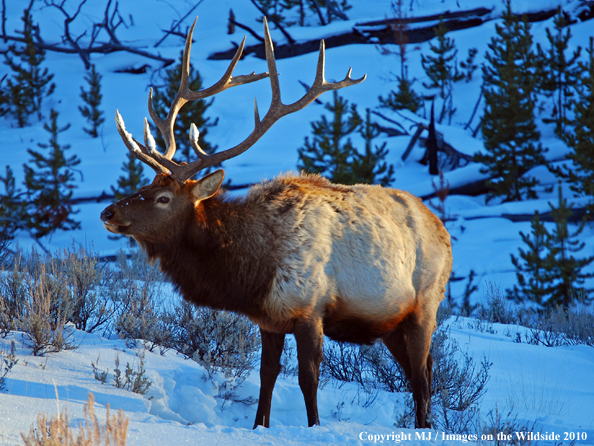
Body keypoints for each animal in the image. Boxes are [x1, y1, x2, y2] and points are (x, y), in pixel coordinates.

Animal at [100, 16, 448, 428]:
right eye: (147, 185)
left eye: (163, 198)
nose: (108, 212)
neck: (253, 268)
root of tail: (442, 229)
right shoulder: (268, 318)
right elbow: (266, 374)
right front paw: (258, 425)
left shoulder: (310, 308)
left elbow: (308, 378)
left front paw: (314, 426)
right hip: (391, 322)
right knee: (420, 372)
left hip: (425, 304)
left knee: (423, 376)